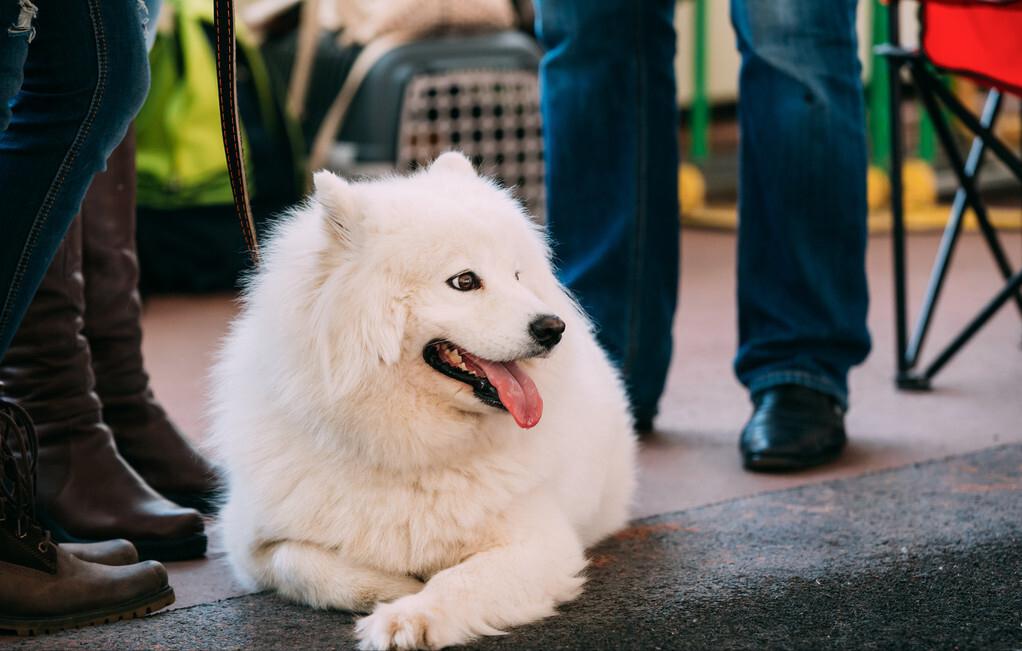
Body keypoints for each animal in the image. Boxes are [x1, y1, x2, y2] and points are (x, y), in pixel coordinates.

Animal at [212, 153, 633, 649]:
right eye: (465, 281)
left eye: (517, 275)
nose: (554, 328)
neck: (404, 447)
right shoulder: (250, 545)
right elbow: (303, 565)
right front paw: (397, 588)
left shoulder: (539, 543)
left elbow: (461, 581)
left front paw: (409, 616)